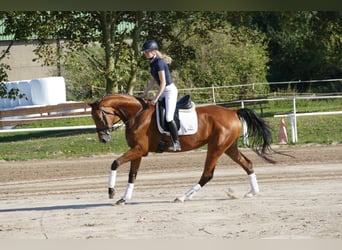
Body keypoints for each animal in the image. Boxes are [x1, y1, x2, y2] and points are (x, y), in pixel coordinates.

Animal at [89, 94, 274, 205]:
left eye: (99, 116)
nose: (104, 139)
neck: (137, 114)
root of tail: (233, 111)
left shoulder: (140, 149)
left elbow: (115, 163)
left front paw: (111, 192)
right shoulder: (137, 151)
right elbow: (132, 175)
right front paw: (123, 198)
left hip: (216, 147)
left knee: (207, 174)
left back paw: (183, 197)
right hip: (229, 147)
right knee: (247, 164)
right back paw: (253, 192)